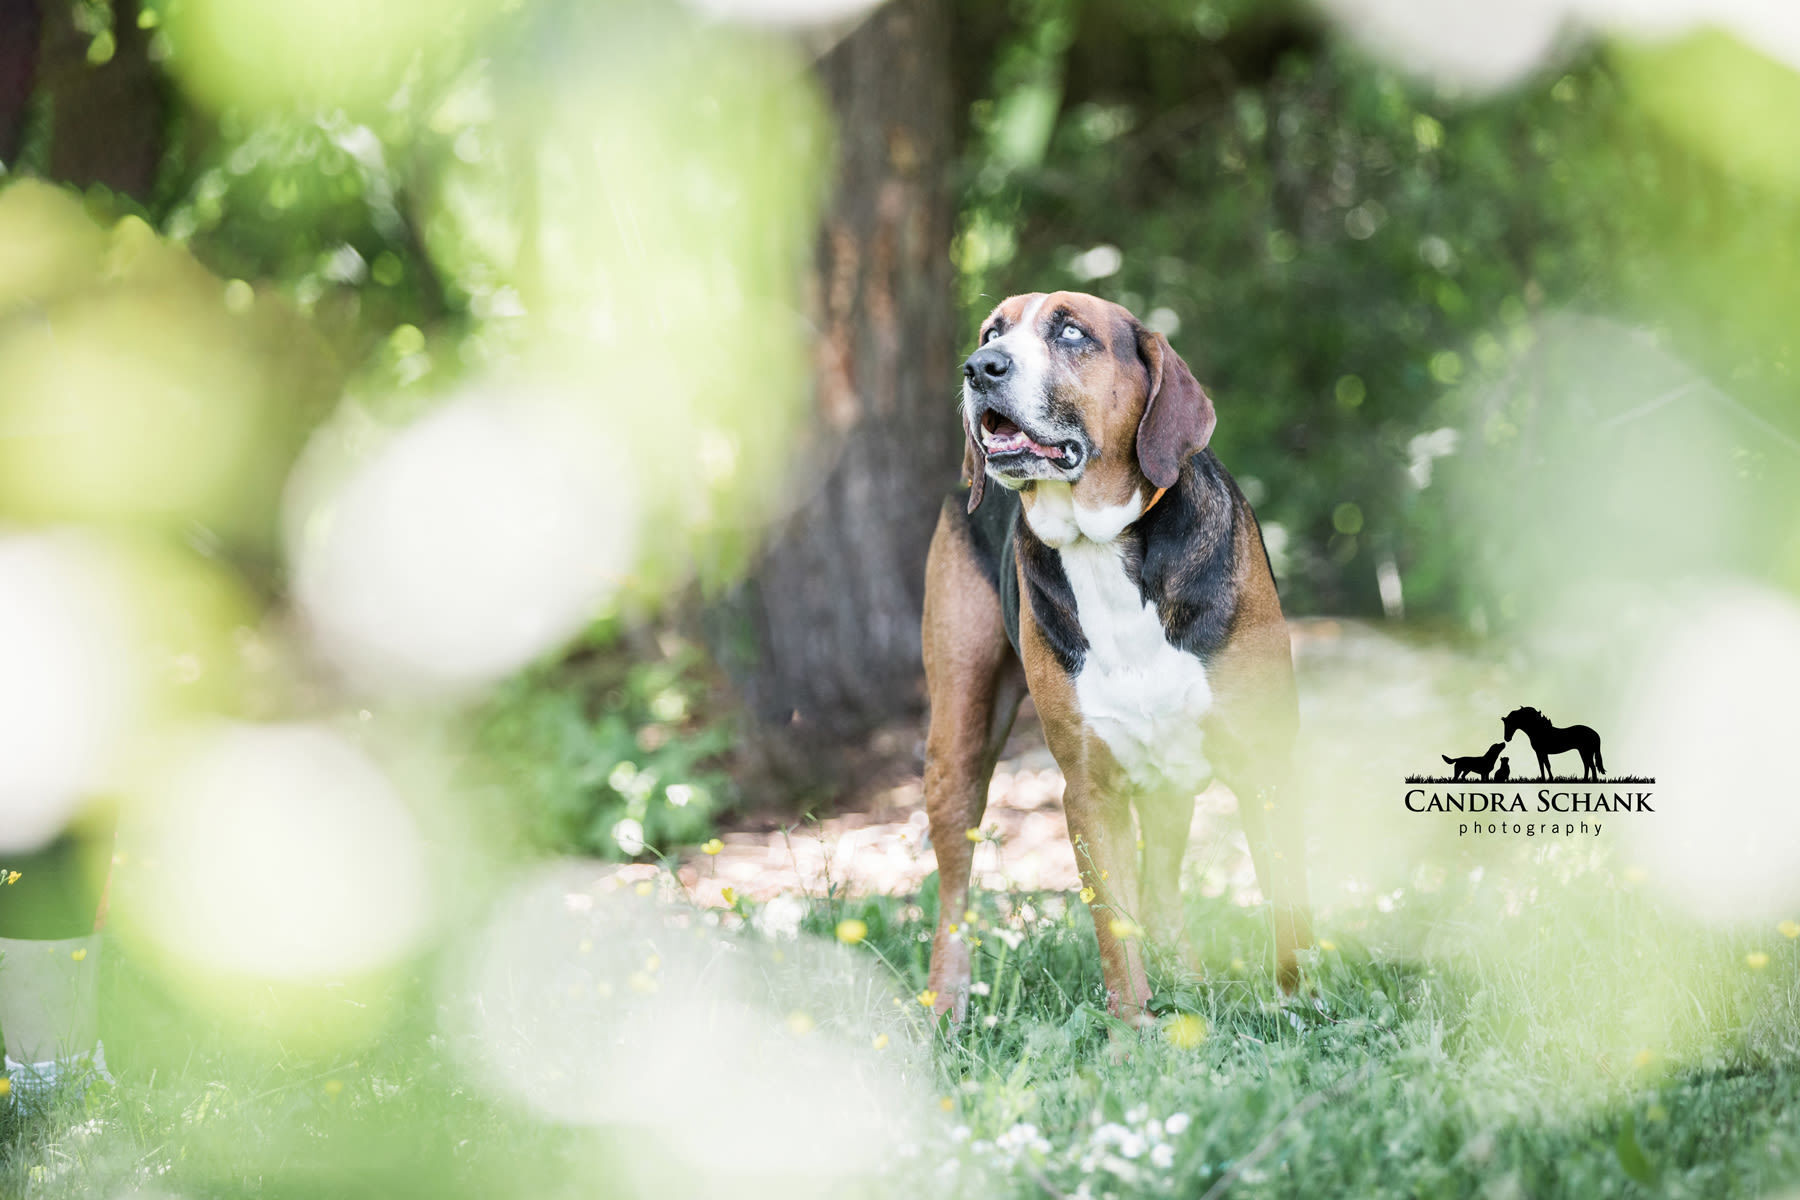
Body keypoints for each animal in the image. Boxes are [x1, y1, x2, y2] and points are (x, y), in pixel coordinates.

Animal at [914, 291, 1310, 1021]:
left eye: (1072, 333)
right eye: (991, 332)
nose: (980, 367)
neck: (1101, 544)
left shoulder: (1265, 764)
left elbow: (1289, 907)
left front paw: (1300, 1009)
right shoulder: (1089, 791)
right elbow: (1114, 939)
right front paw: (1133, 1034)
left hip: (1170, 779)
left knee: (1162, 892)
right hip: (957, 744)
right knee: (954, 893)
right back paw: (945, 1007)